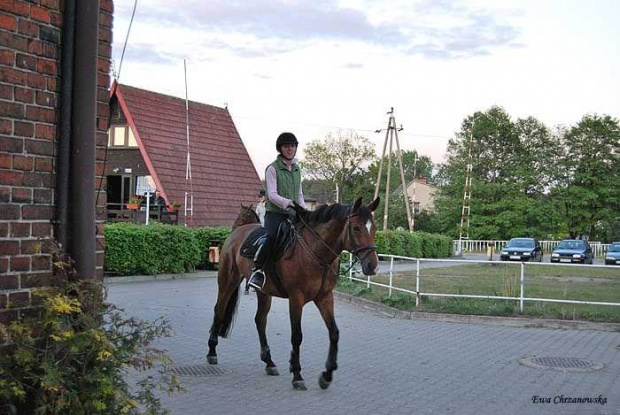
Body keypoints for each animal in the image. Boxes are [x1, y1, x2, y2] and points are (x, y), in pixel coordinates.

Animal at [208, 197, 380, 392]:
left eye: (374, 228)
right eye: (357, 228)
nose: (373, 266)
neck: (314, 252)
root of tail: (237, 232)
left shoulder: (325, 298)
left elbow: (334, 333)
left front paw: (327, 375)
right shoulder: (296, 299)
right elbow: (297, 336)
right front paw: (297, 375)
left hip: (264, 292)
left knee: (260, 320)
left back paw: (269, 362)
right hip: (227, 282)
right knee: (219, 310)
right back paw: (212, 352)